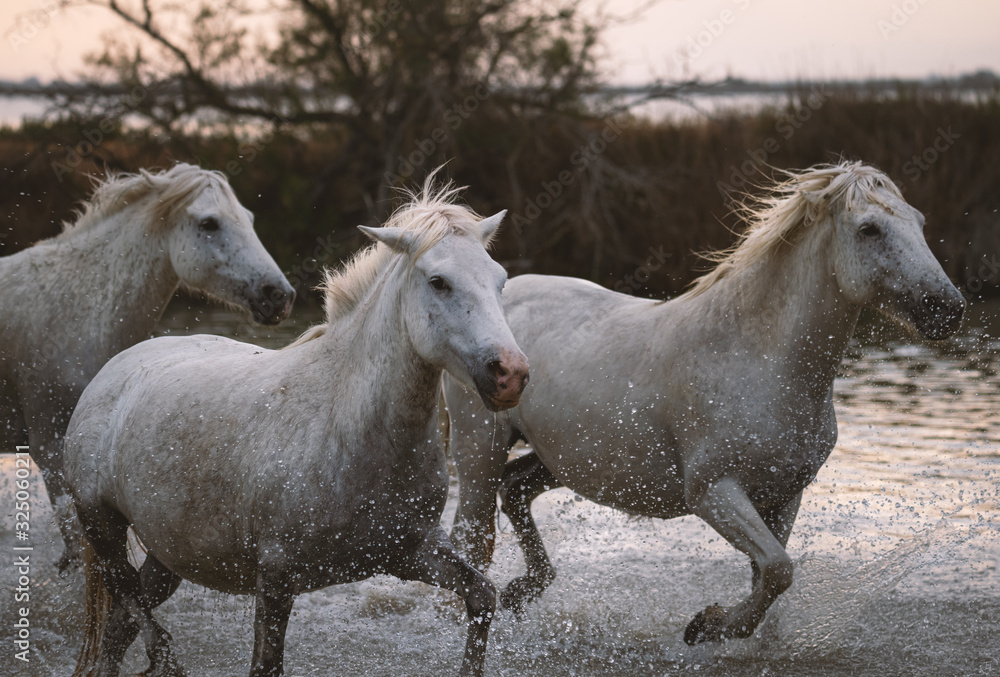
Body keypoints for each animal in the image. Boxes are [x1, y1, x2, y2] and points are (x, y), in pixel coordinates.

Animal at [63, 181, 530, 677]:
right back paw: (166, 658)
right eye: (438, 281)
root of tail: (114, 370)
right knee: (132, 606)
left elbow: (483, 595)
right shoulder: (276, 575)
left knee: (118, 626)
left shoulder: (410, 552)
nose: (510, 374)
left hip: (169, 551)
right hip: (101, 523)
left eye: (500, 279)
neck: (347, 426)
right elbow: (266, 664)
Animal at [444, 161, 966, 645]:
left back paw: (523, 590)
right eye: (869, 228)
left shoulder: (784, 495)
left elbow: (768, 578)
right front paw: (706, 627)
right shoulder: (714, 491)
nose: (947, 308)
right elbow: (779, 569)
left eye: (919, 221)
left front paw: (732, 631)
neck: (755, 357)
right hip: (478, 452)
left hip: (563, 459)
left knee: (515, 489)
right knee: (470, 536)